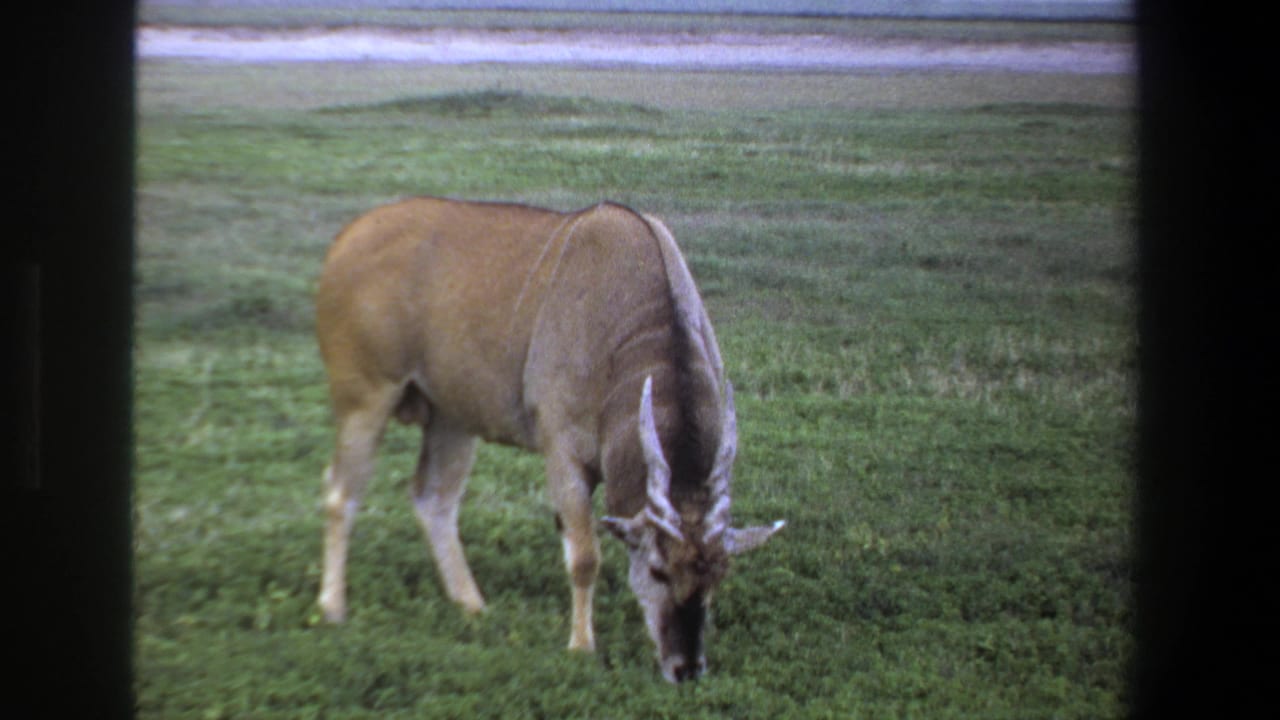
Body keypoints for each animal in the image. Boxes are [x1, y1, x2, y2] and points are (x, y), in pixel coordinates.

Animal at [314, 197, 784, 682]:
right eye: (657, 571)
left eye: (719, 575)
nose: (686, 668)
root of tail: (345, 241)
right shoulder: (563, 452)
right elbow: (584, 557)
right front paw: (581, 647)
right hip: (366, 397)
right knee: (340, 493)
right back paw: (333, 608)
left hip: (451, 418)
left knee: (433, 500)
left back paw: (473, 604)